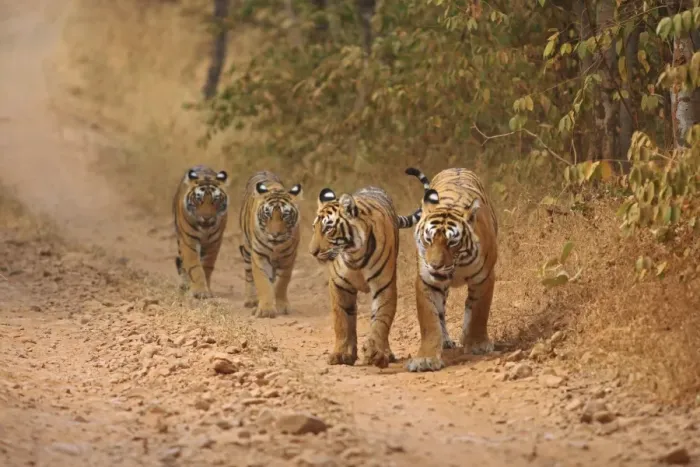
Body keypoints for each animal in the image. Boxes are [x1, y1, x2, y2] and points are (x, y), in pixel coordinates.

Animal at [173, 165, 230, 299]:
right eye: (199, 199)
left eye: (216, 199)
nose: (207, 217)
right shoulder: (188, 241)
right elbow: (195, 267)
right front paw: (200, 292)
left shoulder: (214, 243)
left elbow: (207, 266)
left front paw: (206, 289)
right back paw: (184, 286)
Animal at [239, 171, 303, 318]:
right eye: (267, 214)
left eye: (285, 215)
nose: (275, 234)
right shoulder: (259, 256)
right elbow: (263, 283)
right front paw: (266, 310)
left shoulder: (288, 258)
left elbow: (281, 283)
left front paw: (282, 307)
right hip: (247, 250)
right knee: (249, 275)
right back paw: (251, 301)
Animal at [308, 185, 422, 369]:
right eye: (314, 228)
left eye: (328, 229)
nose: (312, 252)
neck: (354, 255)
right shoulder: (339, 286)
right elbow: (341, 321)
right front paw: (340, 354)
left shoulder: (384, 286)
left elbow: (381, 321)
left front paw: (376, 353)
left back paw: (386, 353)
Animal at [403, 167, 499, 372]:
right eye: (428, 239)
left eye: (452, 242)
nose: (435, 265)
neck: (457, 266)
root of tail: (456, 168)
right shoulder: (426, 281)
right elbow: (430, 321)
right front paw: (425, 359)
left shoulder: (485, 278)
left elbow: (479, 312)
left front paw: (478, 344)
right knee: (441, 313)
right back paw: (446, 341)